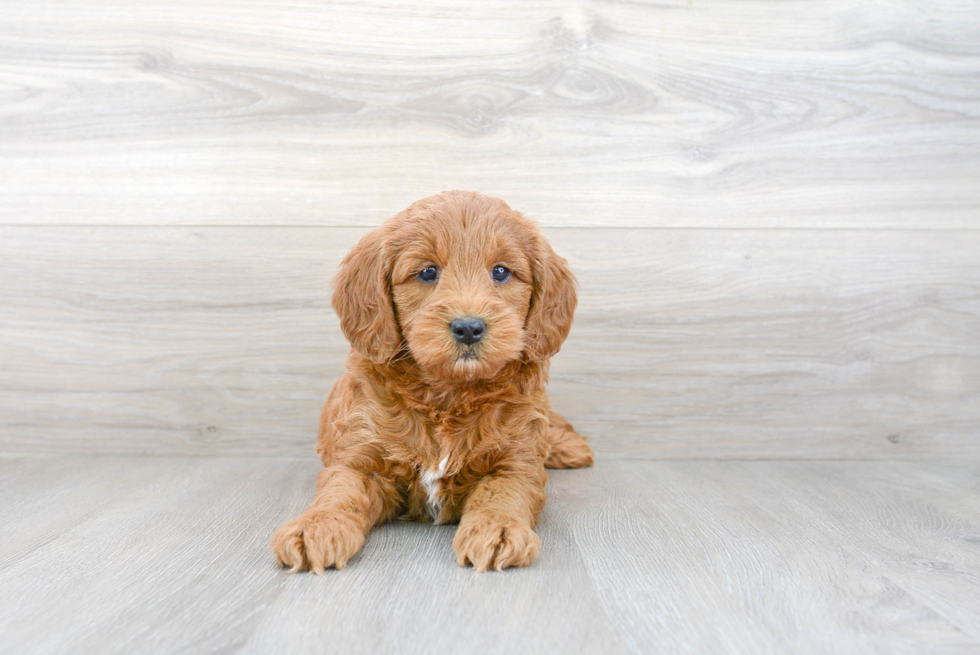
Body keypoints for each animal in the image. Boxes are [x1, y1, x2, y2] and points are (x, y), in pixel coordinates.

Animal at [268, 191, 592, 576]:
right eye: (427, 272)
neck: (448, 395)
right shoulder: (359, 458)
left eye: (501, 271)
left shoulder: (516, 460)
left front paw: (498, 529)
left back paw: (570, 447)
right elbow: (340, 492)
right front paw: (316, 527)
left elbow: (502, 493)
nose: (469, 327)